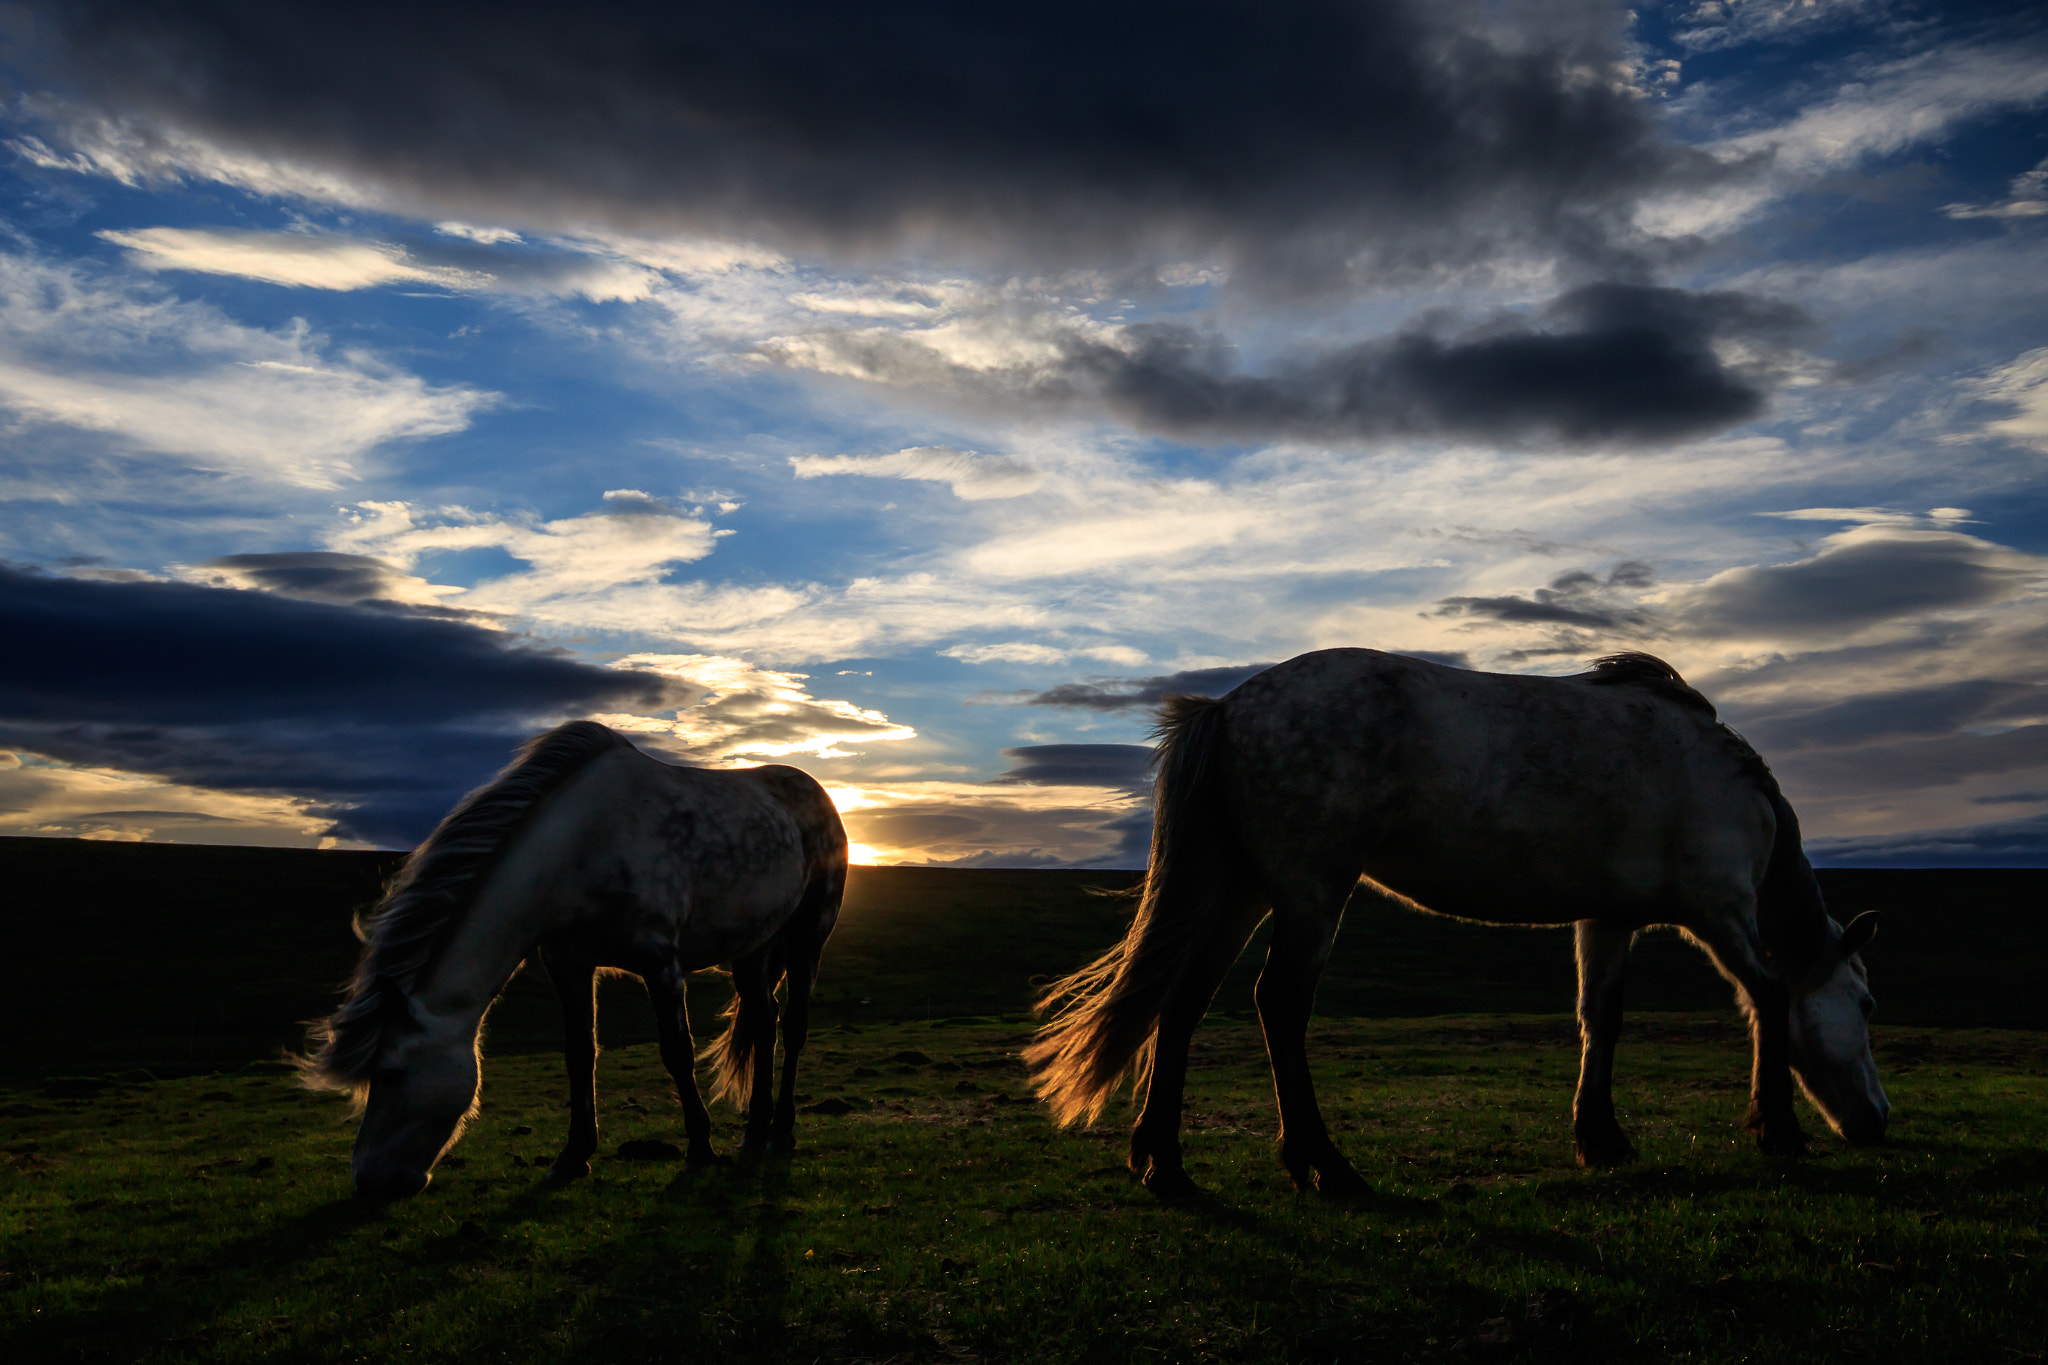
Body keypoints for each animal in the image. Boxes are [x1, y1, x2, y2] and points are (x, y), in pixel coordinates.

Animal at [300, 720, 848, 1199]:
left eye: (390, 1073)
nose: (368, 1182)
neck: (584, 845)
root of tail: (815, 791)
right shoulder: (569, 964)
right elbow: (579, 1054)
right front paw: (574, 1155)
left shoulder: (660, 963)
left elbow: (676, 1051)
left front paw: (699, 1147)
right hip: (753, 950)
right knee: (762, 1022)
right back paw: (754, 1132)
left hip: (809, 940)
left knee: (793, 1026)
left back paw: (781, 1131)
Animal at [1027, 650, 1887, 1199]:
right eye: (1867, 1004)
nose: (1876, 1121)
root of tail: (1230, 707)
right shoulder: (1720, 908)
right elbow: (1769, 997)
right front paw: (1776, 1127)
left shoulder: (1609, 917)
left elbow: (1601, 1018)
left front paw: (1599, 1137)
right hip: (1309, 891)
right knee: (1280, 1005)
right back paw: (1322, 1163)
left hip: (1242, 890)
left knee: (1183, 1002)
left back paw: (1164, 1162)